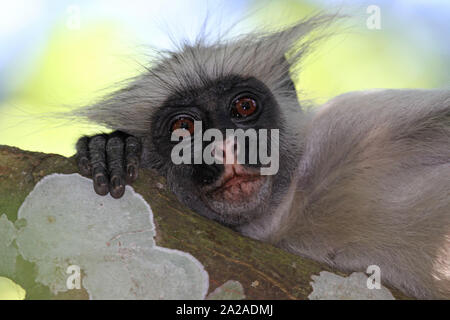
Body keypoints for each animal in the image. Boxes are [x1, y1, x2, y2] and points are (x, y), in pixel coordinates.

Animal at [72, 16, 448, 298]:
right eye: (183, 127)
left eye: (244, 106)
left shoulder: (352, 124)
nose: (224, 146)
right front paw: (110, 149)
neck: (285, 215)